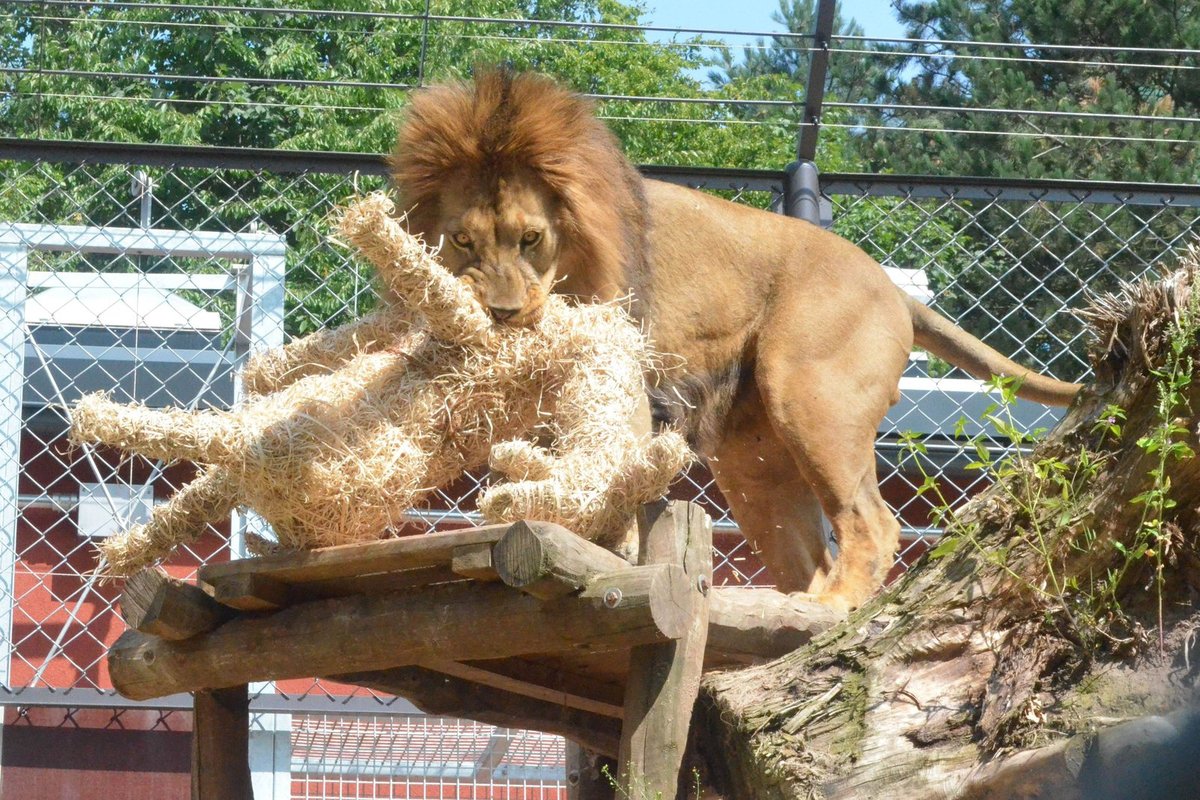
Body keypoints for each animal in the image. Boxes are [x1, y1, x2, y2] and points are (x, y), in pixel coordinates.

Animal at [391, 70, 1080, 606]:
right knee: (812, 554)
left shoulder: (626, 388)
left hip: (811, 396)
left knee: (873, 524)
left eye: (531, 238)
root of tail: (892, 287)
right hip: (755, 465)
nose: (502, 313)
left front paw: (611, 552)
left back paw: (832, 609)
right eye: (462, 240)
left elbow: (611, 478)